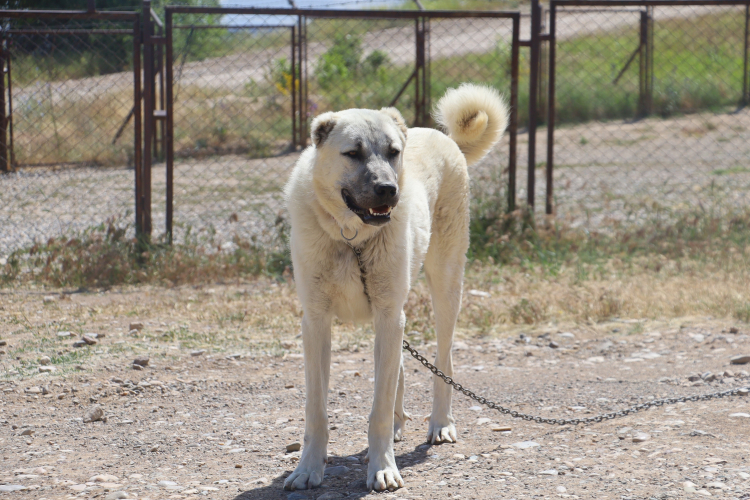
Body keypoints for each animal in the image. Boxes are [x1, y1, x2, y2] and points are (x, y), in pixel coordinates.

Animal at [283, 83, 508, 492]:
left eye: (393, 152)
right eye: (352, 153)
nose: (388, 189)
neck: (352, 237)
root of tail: (446, 138)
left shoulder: (388, 314)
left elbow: (380, 409)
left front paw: (382, 468)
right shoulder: (317, 322)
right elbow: (316, 409)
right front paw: (308, 469)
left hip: (445, 288)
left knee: (443, 360)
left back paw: (440, 424)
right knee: (401, 364)